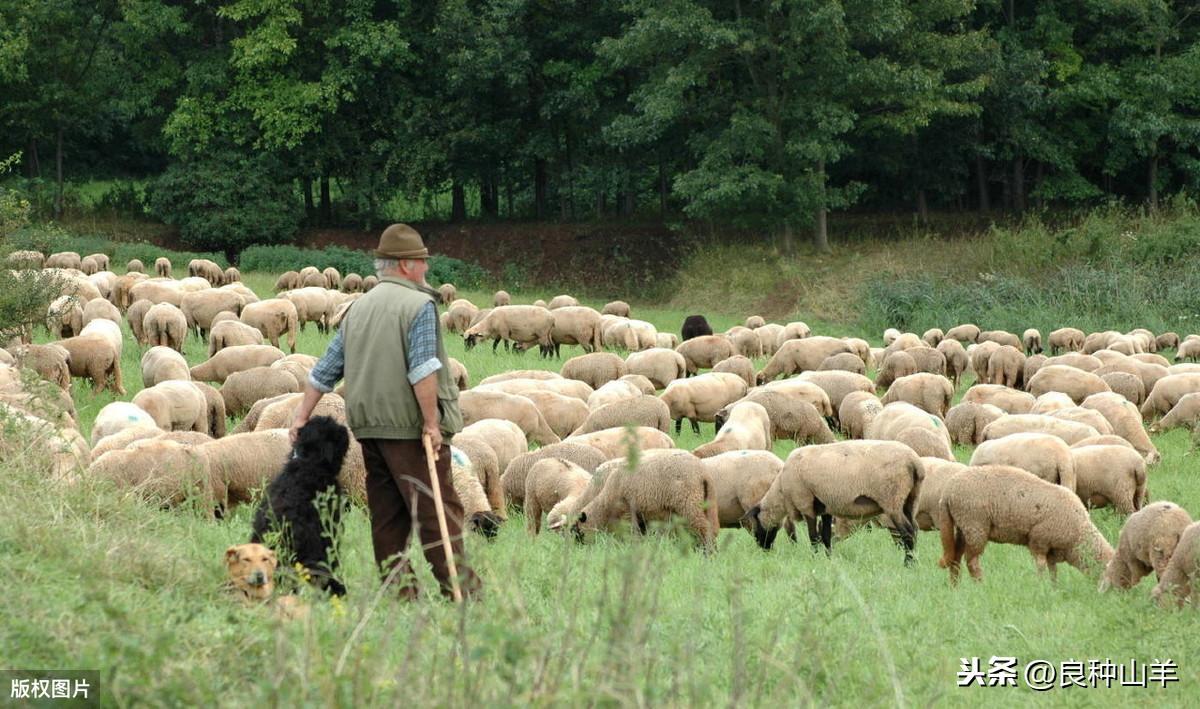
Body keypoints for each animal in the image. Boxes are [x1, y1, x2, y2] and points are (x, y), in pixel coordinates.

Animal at [576, 455, 715, 549]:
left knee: (702, 528)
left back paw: (707, 553)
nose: (578, 551)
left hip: (689, 504)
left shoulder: (627, 512)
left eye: (578, 532)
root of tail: (702, 473)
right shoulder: (642, 517)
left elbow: (631, 534)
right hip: (707, 502)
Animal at [744, 441, 921, 563]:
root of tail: (914, 462)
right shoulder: (825, 507)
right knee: (914, 529)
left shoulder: (806, 503)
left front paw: (814, 560)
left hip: (892, 499)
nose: (763, 549)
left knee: (907, 531)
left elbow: (814, 537)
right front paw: (829, 560)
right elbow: (826, 536)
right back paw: (914, 560)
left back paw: (908, 564)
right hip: (910, 500)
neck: (781, 491)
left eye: (756, 526)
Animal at [936, 465, 1113, 583]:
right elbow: (1041, 566)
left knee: (956, 558)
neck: (1079, 534)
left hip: (963, 526)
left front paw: (1053, 587)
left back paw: (955, 586)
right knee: (971, 561)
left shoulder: (1051, 550)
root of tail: (948, 492)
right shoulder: (1038, 540)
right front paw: (1040, 585)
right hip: (975, 525)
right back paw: (980, 584)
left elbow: (1053, 569)